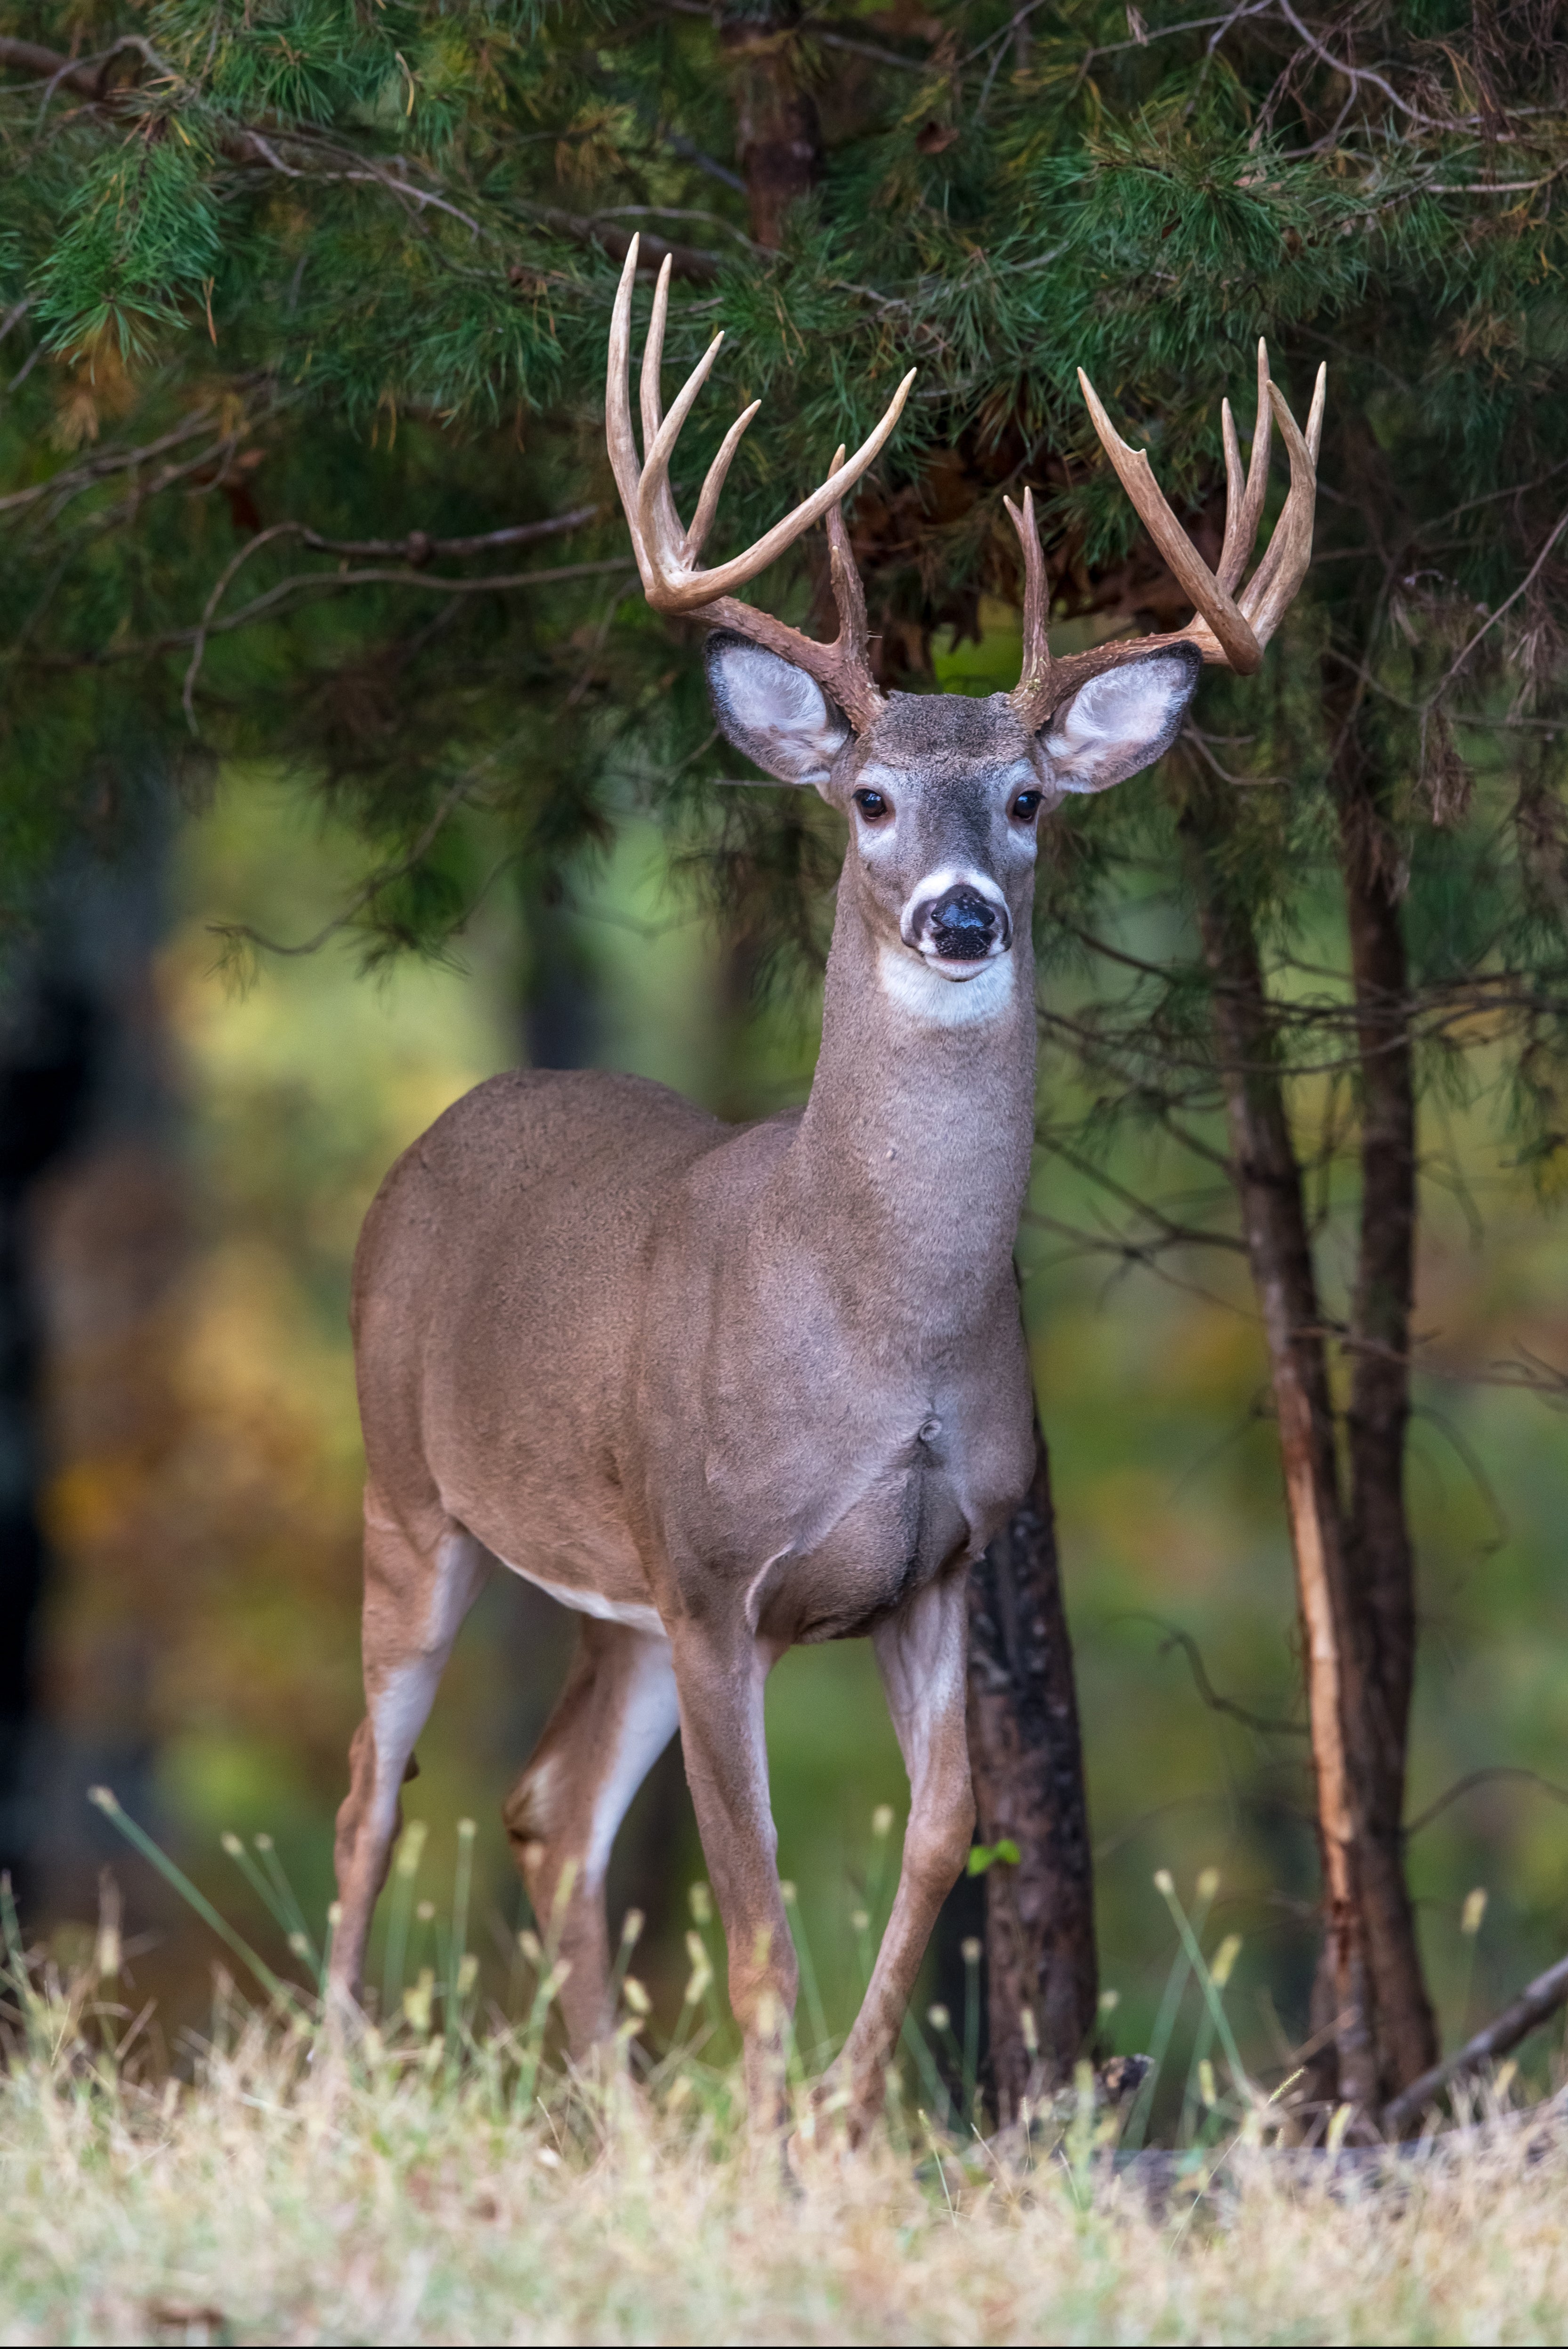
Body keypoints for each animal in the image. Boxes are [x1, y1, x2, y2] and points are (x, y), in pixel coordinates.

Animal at [331, 238, 1326, 2133]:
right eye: (867, 796)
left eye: (1026, 798)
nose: (960, 913)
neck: (881, 1328)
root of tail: (432, 1134)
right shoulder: (721, 1572)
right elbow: (757, 1913)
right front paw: (774, 2139)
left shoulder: (935, 1561)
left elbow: (943, 1842)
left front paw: (839, 2125)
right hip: (418, 1499)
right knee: (373, 1785)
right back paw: (341, 2089)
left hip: (619, 1583)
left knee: (546, 1805)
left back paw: (616, 2125)